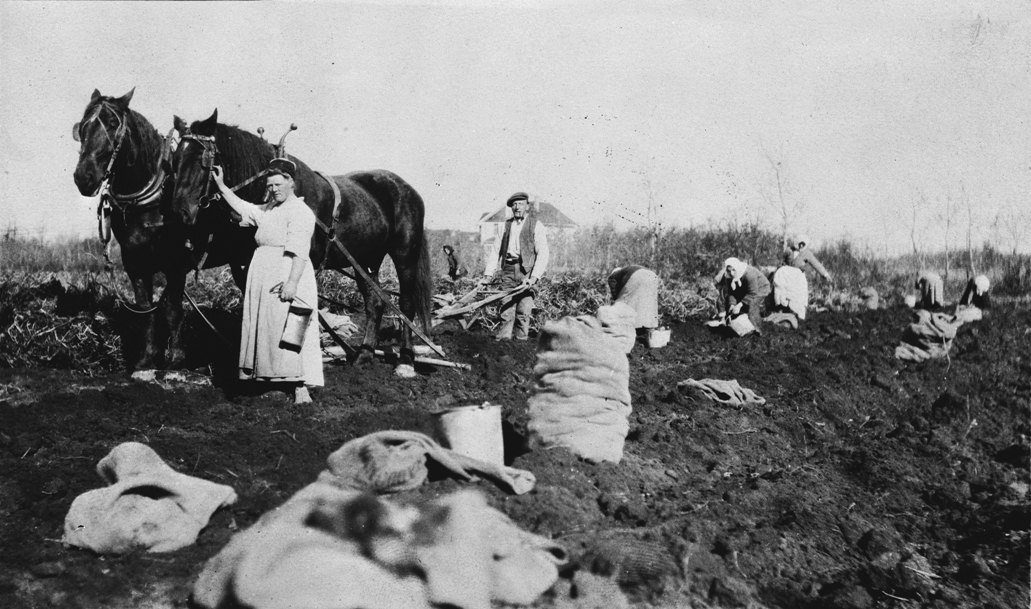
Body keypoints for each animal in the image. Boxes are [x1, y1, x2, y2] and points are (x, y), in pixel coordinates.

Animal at [72, 88, 255, 368]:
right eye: (82, 127)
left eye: (112, 124)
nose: (84, 177)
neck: (150, 201)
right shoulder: (134, 261)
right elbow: (145, 308)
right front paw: (147, 359)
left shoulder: (176, 263)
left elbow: (172, 310)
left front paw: (176, 359)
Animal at [172, 111, 435, 375]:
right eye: (175, 158)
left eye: (201, 158)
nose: (180, 213)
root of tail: (406, 188)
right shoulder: (244, 265)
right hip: (364, 260)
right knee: (375, 304)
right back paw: (364, 355)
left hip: (405, 254)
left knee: (406, 305)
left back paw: (405, 360)